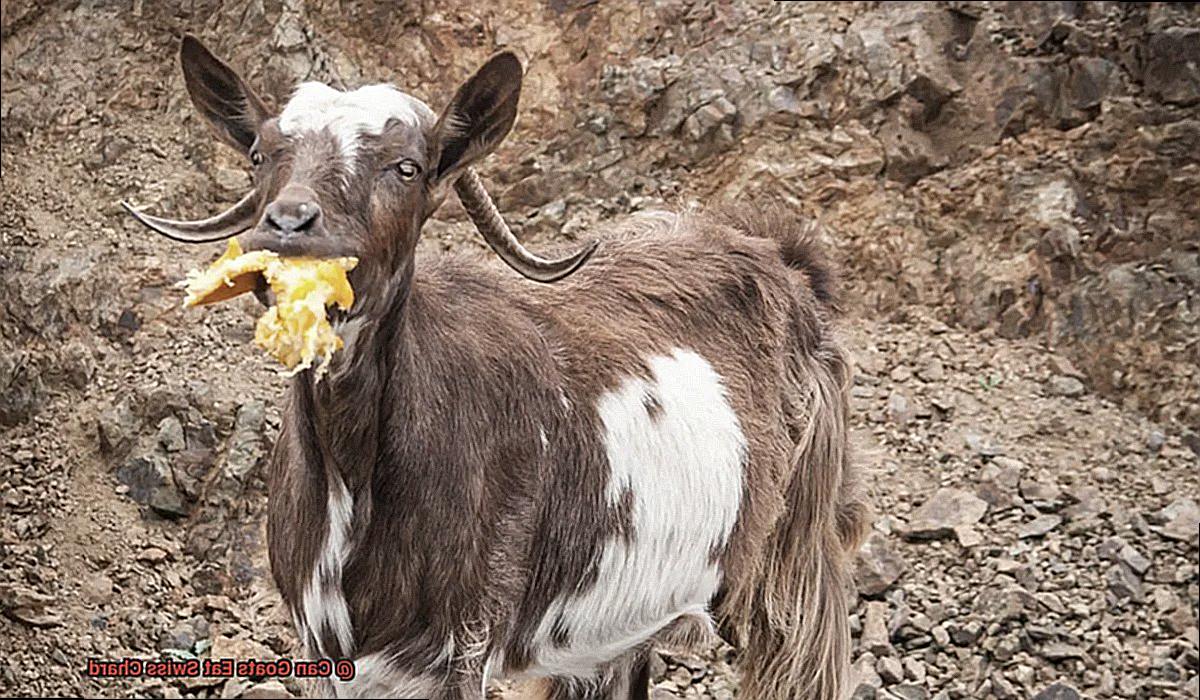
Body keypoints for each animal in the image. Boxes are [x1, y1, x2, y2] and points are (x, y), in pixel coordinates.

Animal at [126, 35, 868, 700]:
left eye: (407, 168)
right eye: (259, 155)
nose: (288, 224)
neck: (358, 480)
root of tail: (786, 255)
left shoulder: (466, 640)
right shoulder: (325, 650)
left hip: (797, 563)